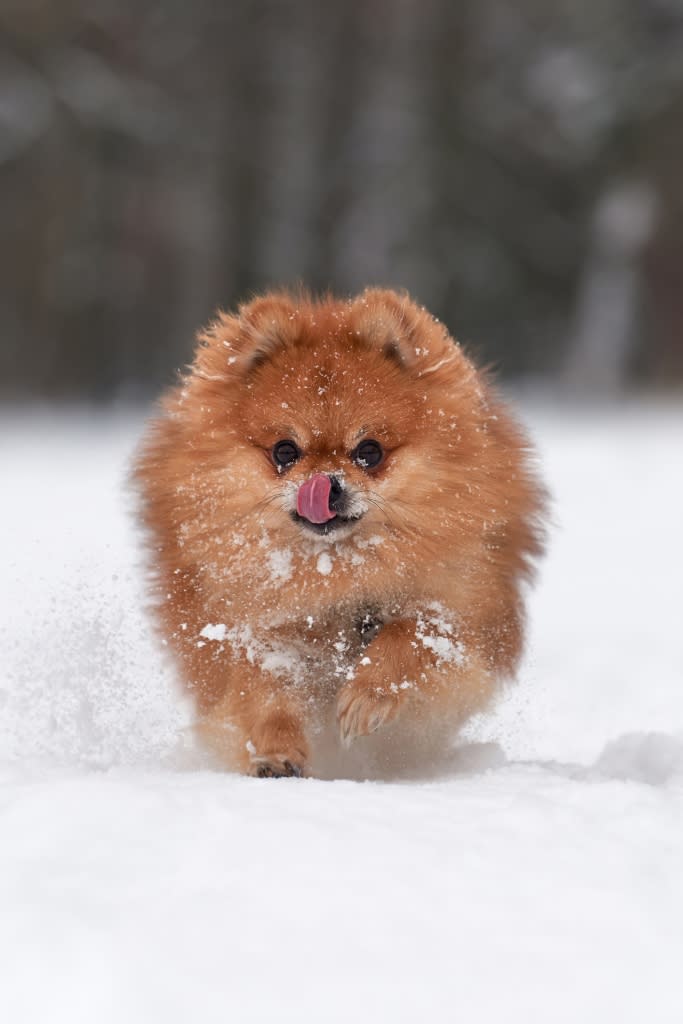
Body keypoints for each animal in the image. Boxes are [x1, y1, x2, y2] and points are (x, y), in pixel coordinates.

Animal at [136, 288, 548, 774]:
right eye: (285, 452)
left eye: (369, 451)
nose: (325, 485)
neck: (334, 574)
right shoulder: (251, 632)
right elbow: (263, 691)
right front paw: (276, 750)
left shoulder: (463, 622)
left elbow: (409, 635)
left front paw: (368, 696)